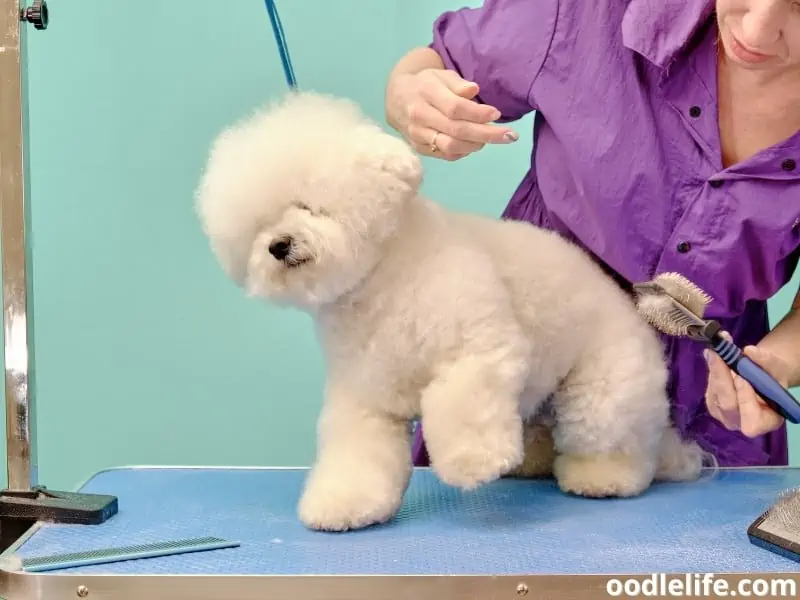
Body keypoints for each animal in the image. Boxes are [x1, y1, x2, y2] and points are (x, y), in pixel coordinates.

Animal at [195, 89, 708, 528]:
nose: (278, 245)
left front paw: (475, 461)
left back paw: (603, 478)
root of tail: (630, 306)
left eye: (309, 205)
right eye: (260, 226)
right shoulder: (366, 397)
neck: (381, 283)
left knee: (616, 444)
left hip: (602, 388)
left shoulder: (477, 351)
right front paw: (345, 504)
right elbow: (358, 452)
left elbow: (462, 403)